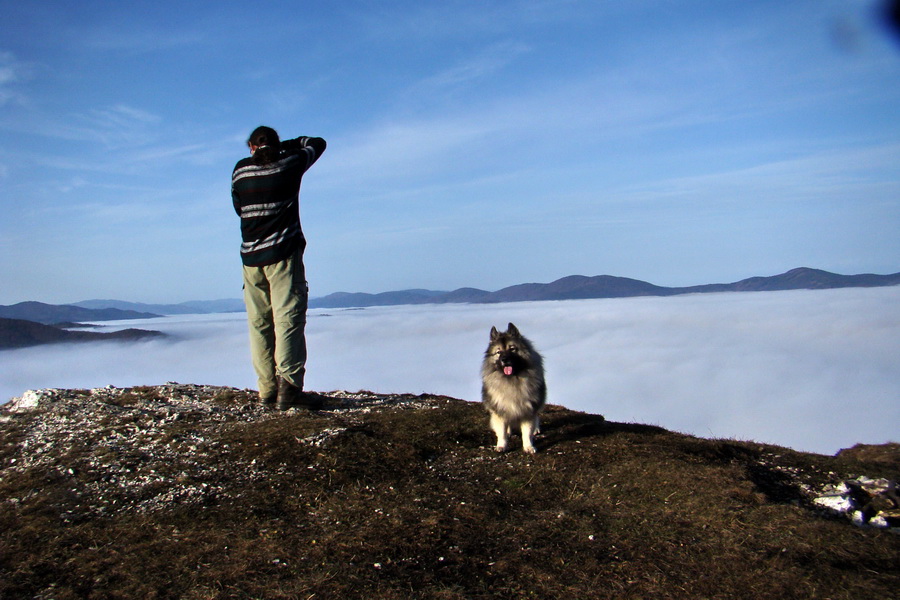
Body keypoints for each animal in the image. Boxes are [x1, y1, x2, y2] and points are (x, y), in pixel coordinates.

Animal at [482, 322, 544, 452]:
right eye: (498, 352)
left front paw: (528, 447)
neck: (512, 380)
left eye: (512, 349)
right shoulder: (500, 410)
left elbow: (527, 432)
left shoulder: (528, 410)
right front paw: (501, 445)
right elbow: (502, 432)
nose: (505, 359)